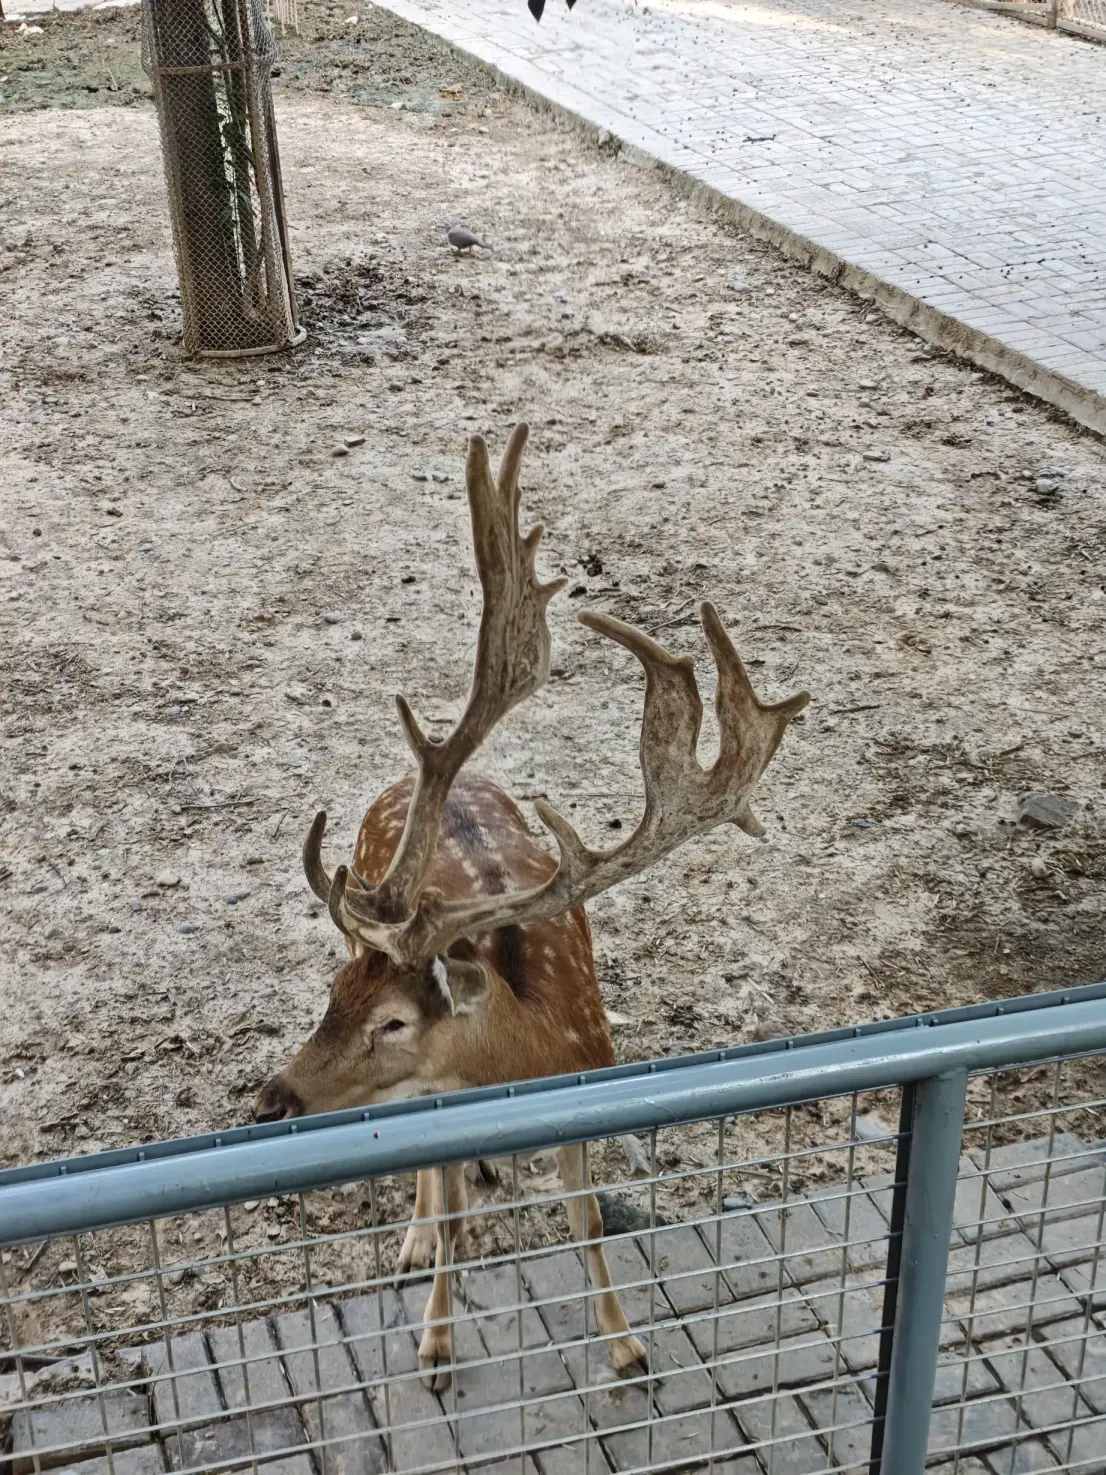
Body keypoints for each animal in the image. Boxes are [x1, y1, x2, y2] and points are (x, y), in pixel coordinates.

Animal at [254, 423, 809, 1389]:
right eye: (332, 992)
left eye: (395, 1020)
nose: (271, 1098)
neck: (524, 1060)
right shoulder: (438, 1108)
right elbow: (449, 1222)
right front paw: (436, 1343)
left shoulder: (589, 1087)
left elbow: (587, 1223)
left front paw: (626, 1347)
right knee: (431, 1195)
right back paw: (415, 1237)